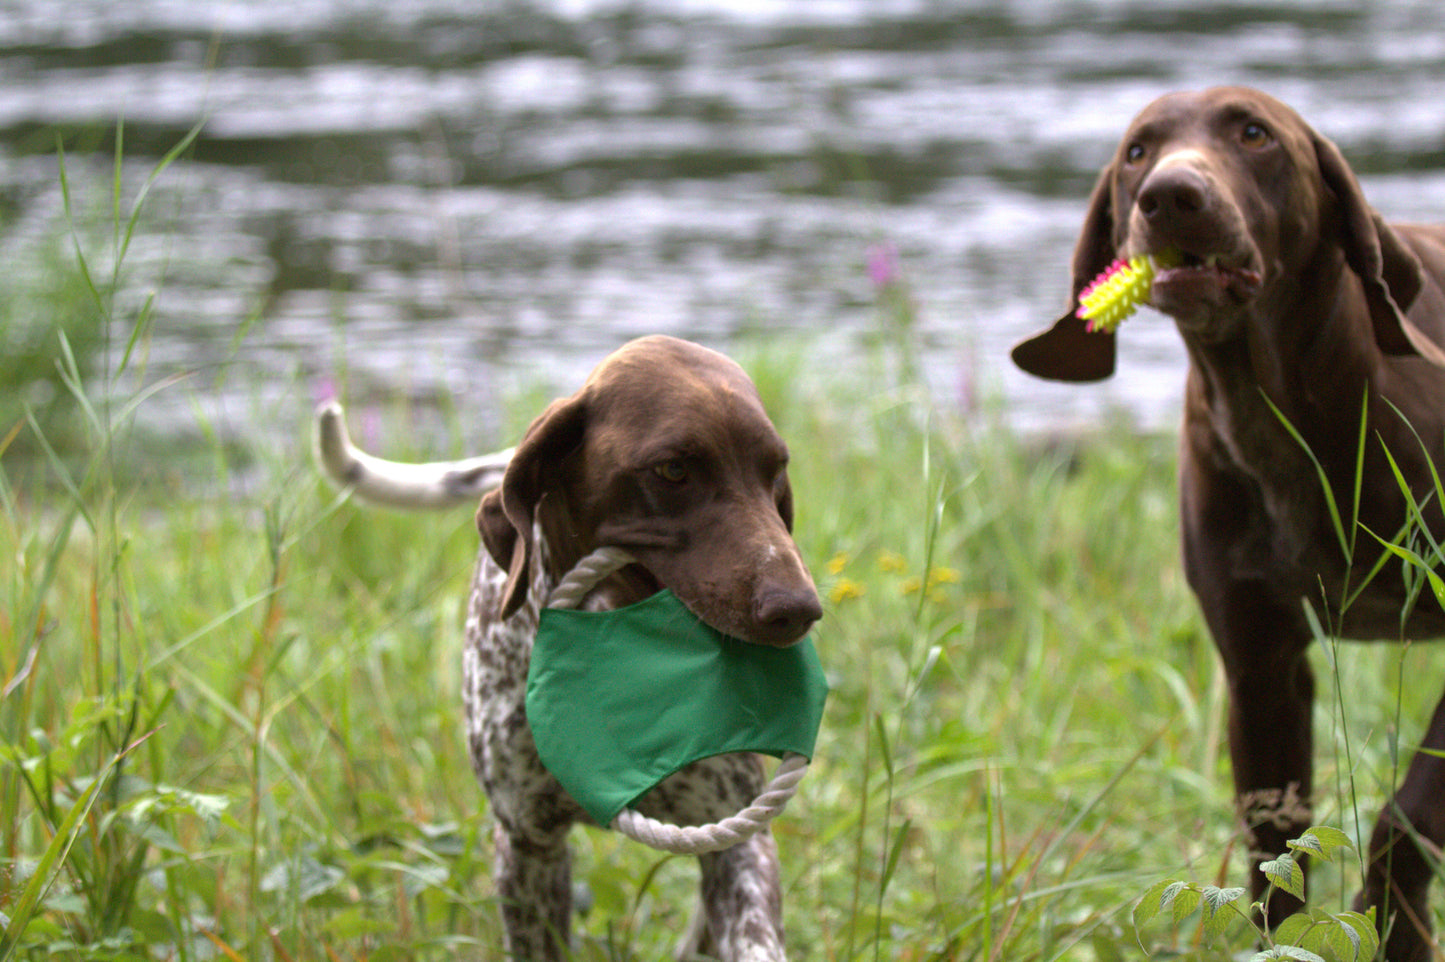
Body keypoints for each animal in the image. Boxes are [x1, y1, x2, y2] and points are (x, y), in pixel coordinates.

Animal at [1011, 86, 1445, 953]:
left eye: (1253, 134)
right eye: (1137, 151)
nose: (1171, 196)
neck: (1280, 412)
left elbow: (1403, 820)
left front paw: (1396, 925)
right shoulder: (1258, 669)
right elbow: (1274, 858)